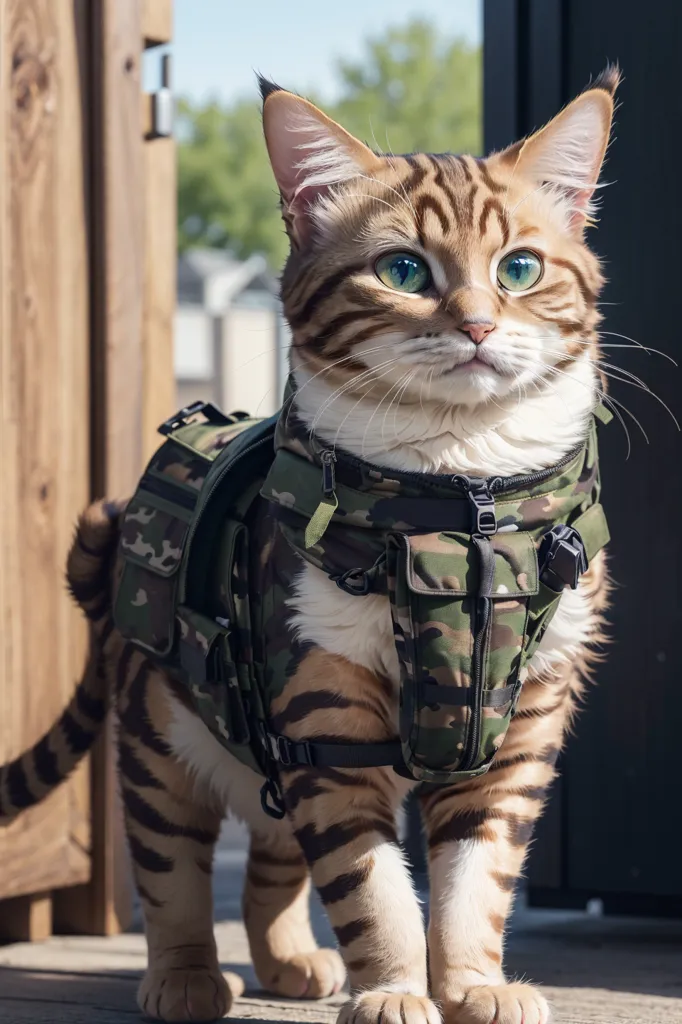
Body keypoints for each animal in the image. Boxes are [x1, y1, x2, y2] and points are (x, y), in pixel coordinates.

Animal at [0, 68, 614, 1019]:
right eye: (403, 270)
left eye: (519, 269)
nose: (478, 326)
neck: (457, 500)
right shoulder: (325, 717)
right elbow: (371, 886)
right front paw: (395, 989)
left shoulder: (522, 724)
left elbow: (476, 879)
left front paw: (473, 985)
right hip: (161, 748)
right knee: (172, 869)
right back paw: (185, 975)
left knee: (267, 865)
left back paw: (291, 961)